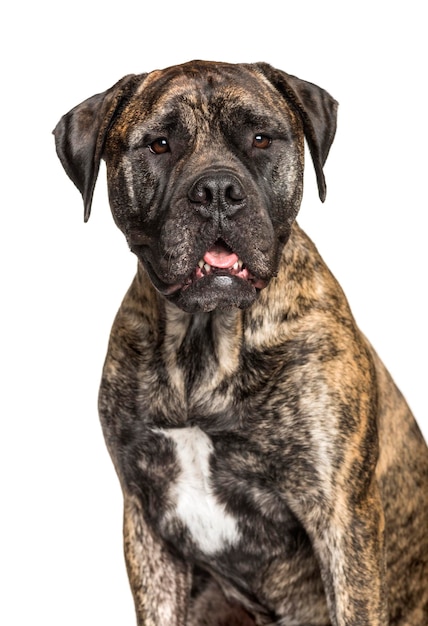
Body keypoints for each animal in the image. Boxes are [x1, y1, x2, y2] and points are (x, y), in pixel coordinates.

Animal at [54, 59, 428, 624]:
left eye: (260, 139)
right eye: (159, 144)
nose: (216, 191)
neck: (206, 345)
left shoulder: (343, 519)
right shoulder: (147, 525)